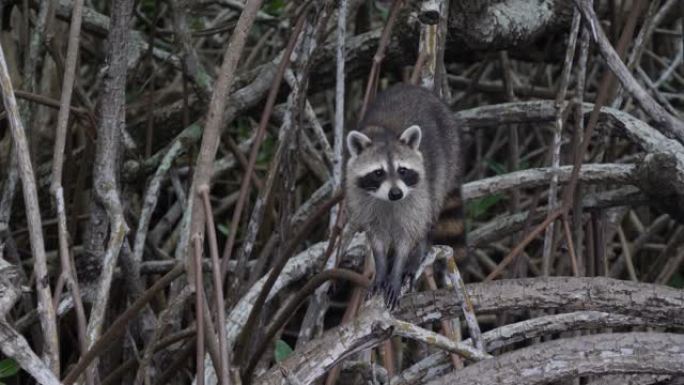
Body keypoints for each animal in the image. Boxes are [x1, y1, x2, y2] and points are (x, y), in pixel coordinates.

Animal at [344, 83, 468, 304]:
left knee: (430, 212)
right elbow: (376, 238)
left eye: (402, 170)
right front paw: (382, 270)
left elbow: (408, 234)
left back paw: (417, 253)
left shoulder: (416, 196)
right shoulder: (361, 198)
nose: (396, 193)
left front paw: (398, 269)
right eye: (378, 173)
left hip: (447, 158)